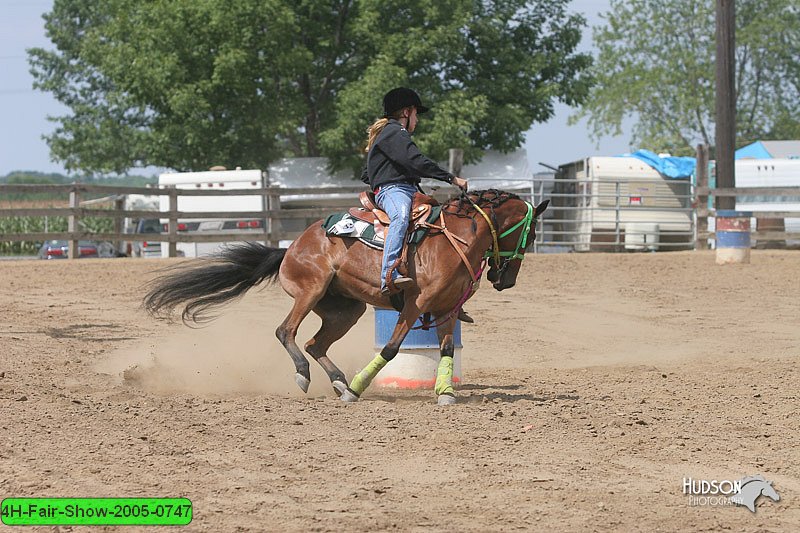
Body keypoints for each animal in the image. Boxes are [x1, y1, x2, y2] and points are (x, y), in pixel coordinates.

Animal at [144, 189, 548, 402]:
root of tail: (290, 247)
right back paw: (310, 377)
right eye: (528, 235)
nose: (507, 281)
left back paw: (337, 380)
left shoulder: (445, 308)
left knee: (315, 343)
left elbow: (448, 348)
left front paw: (446, 391)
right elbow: (391, 349)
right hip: (310, 291)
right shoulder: (414, 305)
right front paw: (358, 388)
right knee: (286, 332)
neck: (454, 240)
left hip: (346, 310)